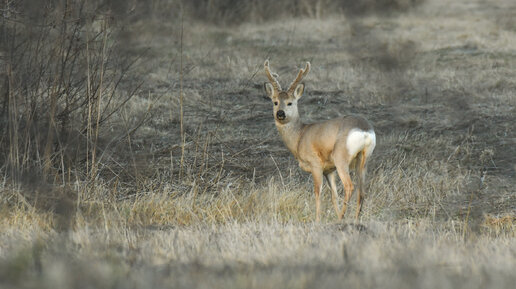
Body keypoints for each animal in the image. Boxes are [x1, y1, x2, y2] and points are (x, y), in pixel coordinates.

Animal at [264, 59, 376, 222]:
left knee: (350, 186)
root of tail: (365, 131)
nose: (280, 113)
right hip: (364, 158)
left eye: (290, 102)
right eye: (275, 102)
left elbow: (318, 192)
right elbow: (333, 195)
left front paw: (317, 220)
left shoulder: (315, 164)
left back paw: (341, 217)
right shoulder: (328, 170)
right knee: (362, 190)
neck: (299, 137)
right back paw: (353, 219)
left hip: (341, 156)